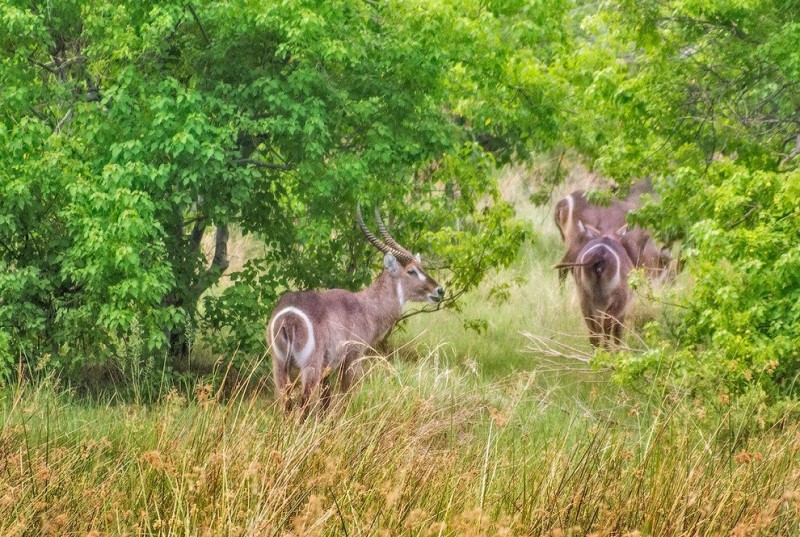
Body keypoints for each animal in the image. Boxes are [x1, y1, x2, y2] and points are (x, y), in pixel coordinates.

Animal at [268, 205, 444, 410]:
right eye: (411, 271)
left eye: (421, 267)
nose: (440, 290)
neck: (366, 306)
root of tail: (288, 317)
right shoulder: (352, 357)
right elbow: (346, 395)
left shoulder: (328, 368)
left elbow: (326, 402)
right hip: (310, 367)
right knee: (303, 405)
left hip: (279, 367)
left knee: (286, 405)